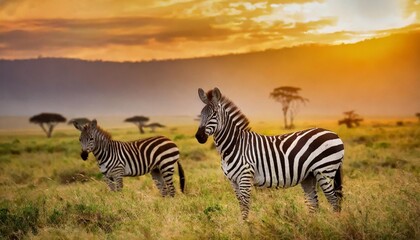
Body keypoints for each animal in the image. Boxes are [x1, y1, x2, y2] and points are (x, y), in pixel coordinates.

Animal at [195, 87, 342, 219]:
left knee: (334, 201)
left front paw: (247, 227)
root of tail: (334, 134)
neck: (234, 145)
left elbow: (245, 205)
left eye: (214, 113)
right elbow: (241, 205)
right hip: (309, 175)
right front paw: (243, 225)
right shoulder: (233, 181)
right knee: (314, 203)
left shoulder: (245, 177)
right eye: (201, 114)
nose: (199, 137)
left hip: (325, 171)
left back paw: (334, 224)